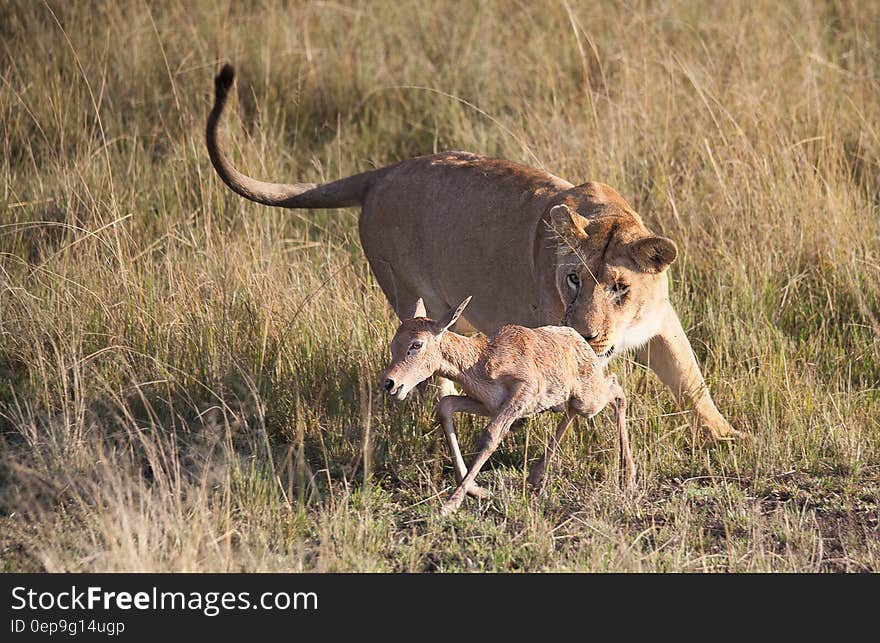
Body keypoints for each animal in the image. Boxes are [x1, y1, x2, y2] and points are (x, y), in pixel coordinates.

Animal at [378, 296, 632, 512]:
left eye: (416, 344)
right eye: (394, 342)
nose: (389, 383)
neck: (481, 359)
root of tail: (579, 340)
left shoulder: (521, 394)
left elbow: (491, 435)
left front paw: (450, 505)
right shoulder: (488, 405)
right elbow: (445, 406)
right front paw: (478, 491)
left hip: (589, 400)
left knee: (616, 388)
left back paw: (628, 475)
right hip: (572, 401)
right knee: (573, 410)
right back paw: (536, 476)